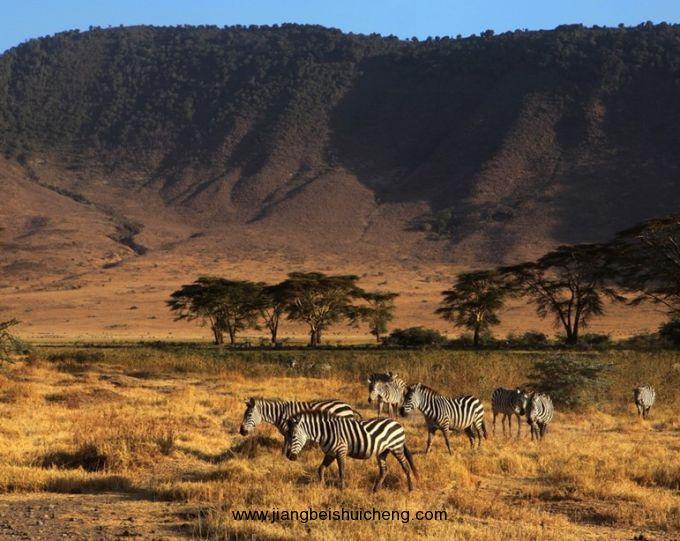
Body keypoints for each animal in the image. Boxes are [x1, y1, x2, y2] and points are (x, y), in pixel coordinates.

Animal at [283, 411, 418, 492]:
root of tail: (397, 423)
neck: (325, 432)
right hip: (382, 452)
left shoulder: (341, 451)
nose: (289, 456)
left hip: (396, 448)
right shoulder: (331, 453)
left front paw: (342, 489)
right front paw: (322, 485)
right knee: (384, 470)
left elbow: (342, 471)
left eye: (293, 437)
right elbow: (320, 469)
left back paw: (410, 488)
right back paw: (375, 490)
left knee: (406, 467)